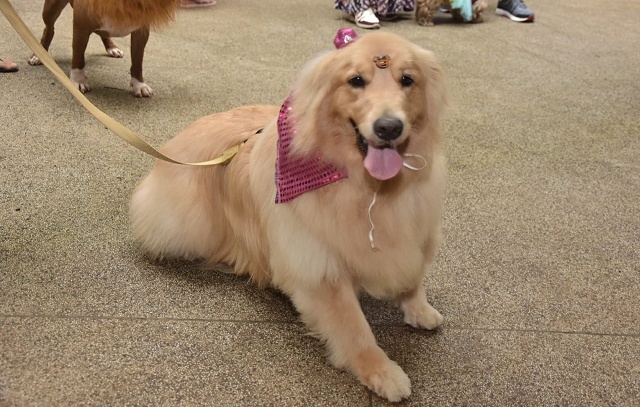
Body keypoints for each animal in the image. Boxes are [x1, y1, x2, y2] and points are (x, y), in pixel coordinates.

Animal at [29, 0, 179, 97]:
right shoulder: (81, 27)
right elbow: (78, 58)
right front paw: (78, 81)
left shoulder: (141, 32)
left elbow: (137, 62)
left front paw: (139, 85)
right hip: (51, 8)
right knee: (49, 29)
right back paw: (38, 55)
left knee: (103, 33)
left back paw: (112, 48)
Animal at [130, 31, 448, 402]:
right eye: (356, 81)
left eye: (407, 80)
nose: (389, 127)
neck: (365, 187)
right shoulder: (318, 268)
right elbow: (354, 327)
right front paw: (381, 370)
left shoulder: (415, 229)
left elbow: (412, 275)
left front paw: (419, 308)